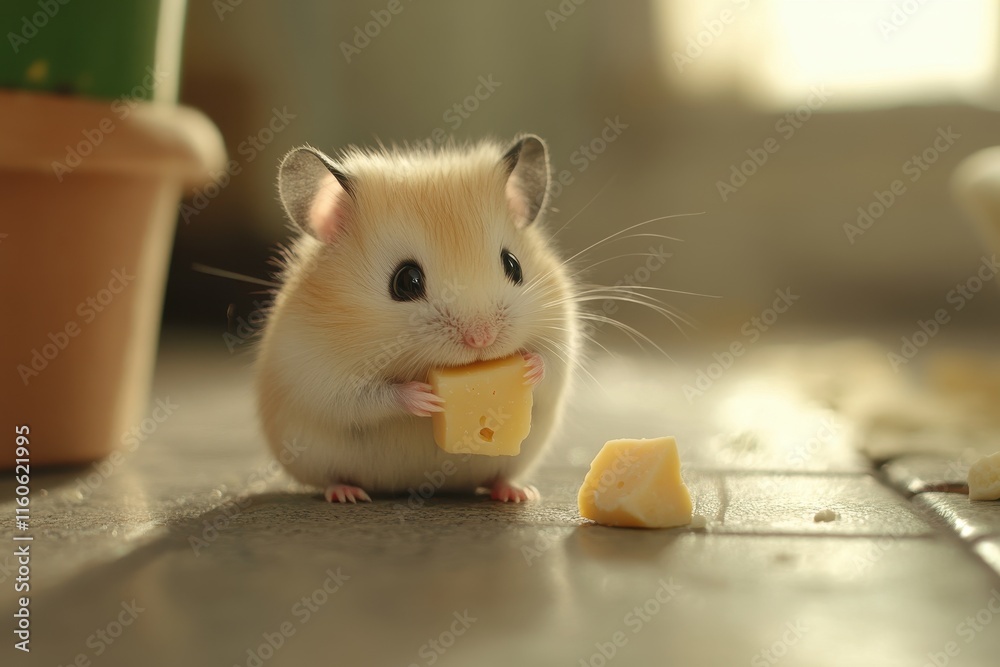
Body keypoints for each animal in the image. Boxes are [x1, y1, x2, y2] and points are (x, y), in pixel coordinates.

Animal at [255, 135, 579, 503]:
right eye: (406, 281)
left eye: (513, 265)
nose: (481, 338)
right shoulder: (321, 376)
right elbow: (367, 398)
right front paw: (426, 396)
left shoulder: (563, 330)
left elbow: (551, 362)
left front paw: (529, 366)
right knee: (331, 479)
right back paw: (347, 494)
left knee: (499, 476)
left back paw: (518, 494)